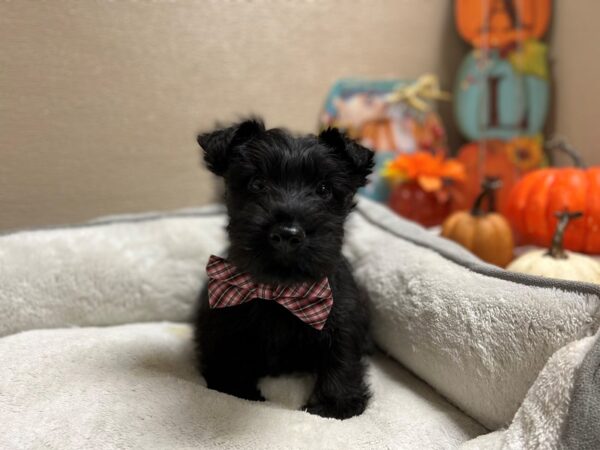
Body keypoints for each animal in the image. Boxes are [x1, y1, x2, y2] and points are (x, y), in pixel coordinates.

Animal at [195, 118, 372, 418]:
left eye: (324, 189)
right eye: (257, 183)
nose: (288, 234)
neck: (280, 291)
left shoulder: (343, 318)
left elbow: (341, 356)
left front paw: (335, 405)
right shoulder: (225, 322)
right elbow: (230, 354)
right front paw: (236, 389)